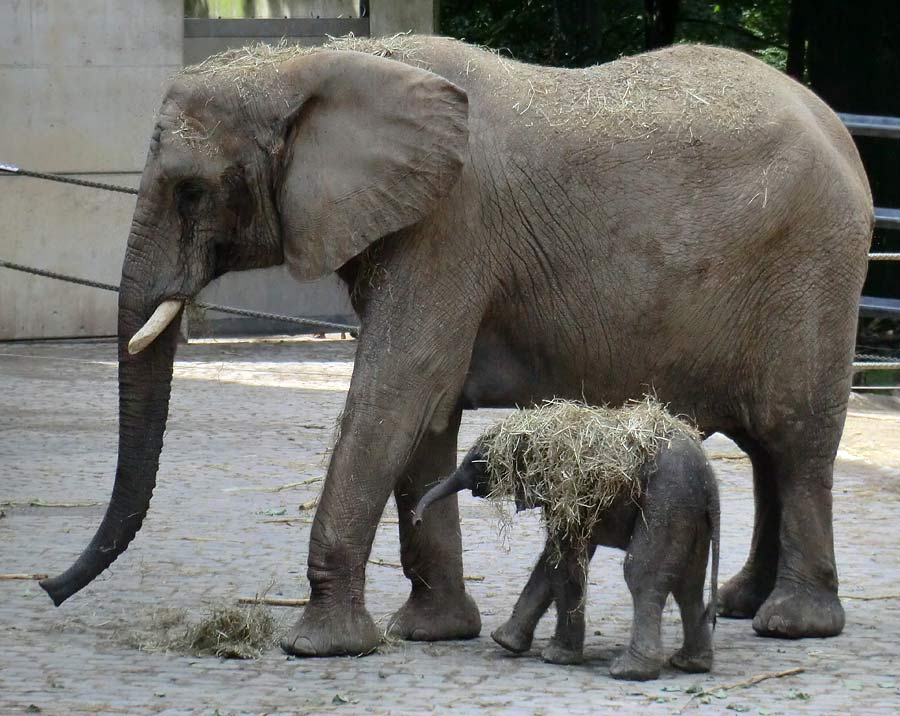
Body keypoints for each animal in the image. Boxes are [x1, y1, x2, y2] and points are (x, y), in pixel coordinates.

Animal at [418, 400, 720, 680]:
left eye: (477, 462)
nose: (417, 520)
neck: (540, 425)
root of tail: (709, 481)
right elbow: (554, 561)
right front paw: (505, 641)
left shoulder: (563, 488)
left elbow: (563, 563)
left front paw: (555, 657)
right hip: (691, 513)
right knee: (689, 584)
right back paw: (690, 665)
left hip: (666, 502)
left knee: (642, 575)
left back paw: (629, 671)